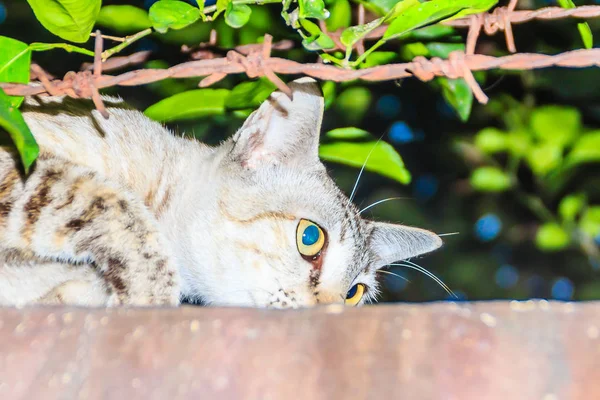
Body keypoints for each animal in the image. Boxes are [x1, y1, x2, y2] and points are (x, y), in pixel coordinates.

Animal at [0, 78, 440, 308]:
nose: (330, 313)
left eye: (354, 293)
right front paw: (149, 292)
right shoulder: (19, 160)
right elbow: (117, 210)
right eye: (311, 238)